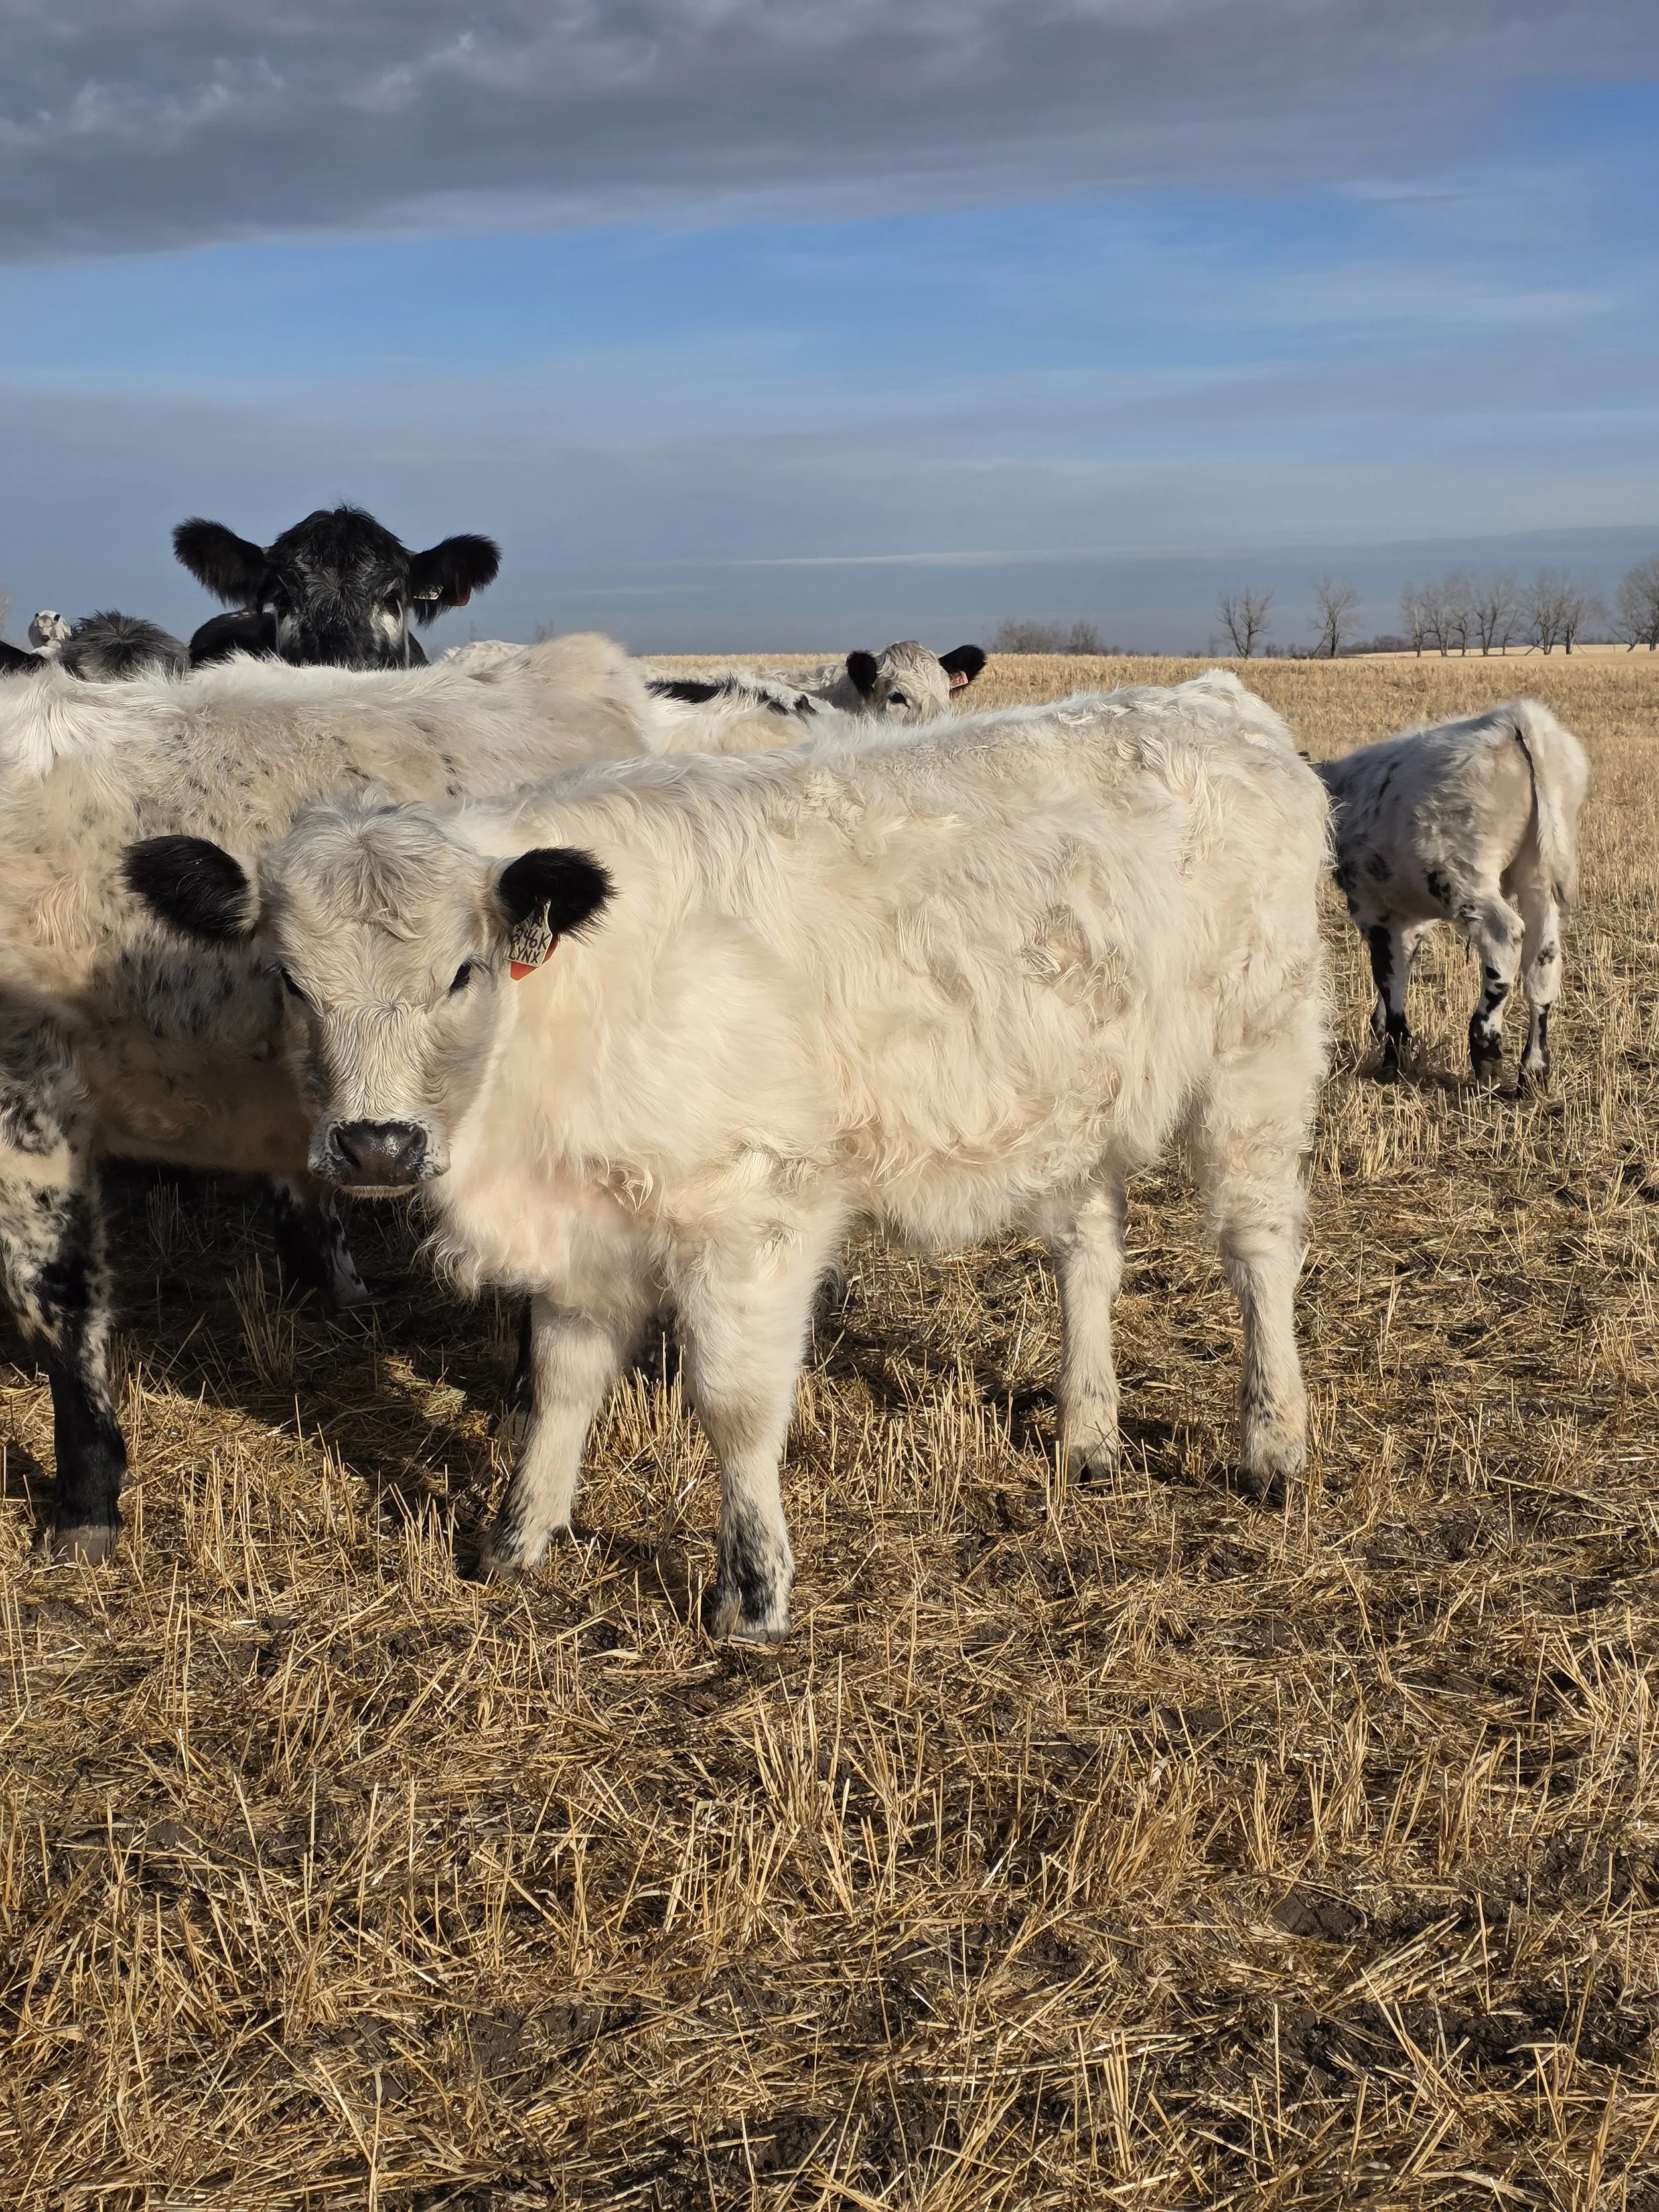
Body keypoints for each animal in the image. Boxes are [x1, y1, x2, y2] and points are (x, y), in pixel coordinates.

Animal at [130, 670, 1331, 1640]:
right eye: (290, 979)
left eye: (463, 970)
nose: (376, 1143)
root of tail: (1213, 699)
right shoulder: (586, 1226)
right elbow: (562, 1382)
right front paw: (520, 1538)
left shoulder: (754, 1212)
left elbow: (737, 1404)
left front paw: (752, 1591)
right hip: (1076, 1105)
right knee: (1088, 1251)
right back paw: (1088, 1432)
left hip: (1258, 1063)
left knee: (1260, 1251)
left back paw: (1274, 1445)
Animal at [1315, 701, 1588, 1085]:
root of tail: (1513, 717)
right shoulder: (1409, 917)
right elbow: (1403, 966)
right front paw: (1384, 1031)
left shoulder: (1373, 910)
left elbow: (1387, 975)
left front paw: (1393, 1060)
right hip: (1539, 874)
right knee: (1543, 958)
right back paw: (1533, 1070)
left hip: (1465, 874)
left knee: (1504, 938)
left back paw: (1487, 1055)